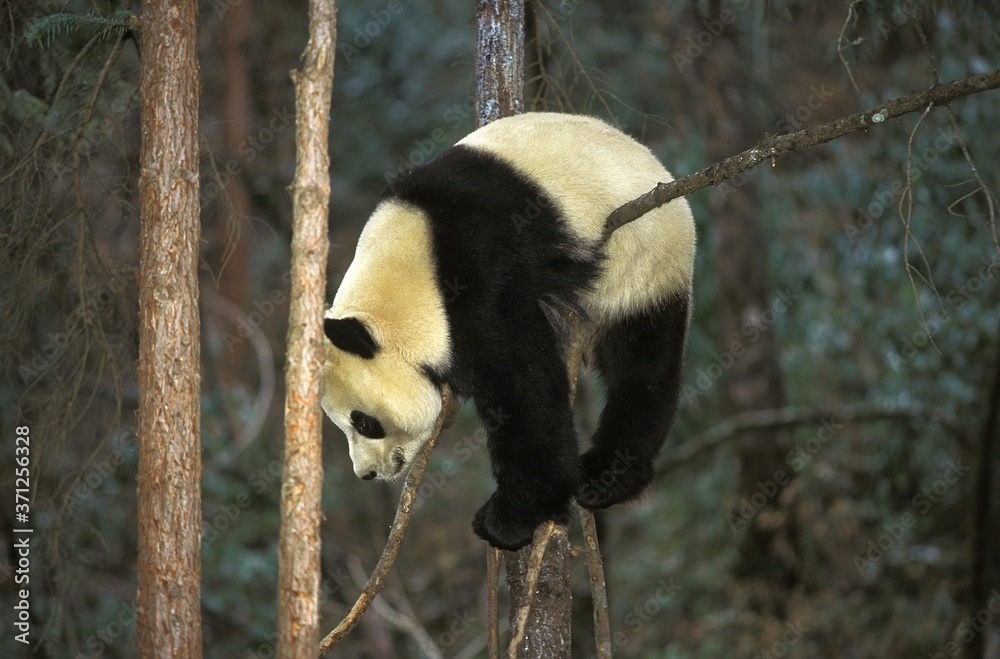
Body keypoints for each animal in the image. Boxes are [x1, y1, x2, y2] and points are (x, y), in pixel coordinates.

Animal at [322, 112, 695, 550]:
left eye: (363, 422)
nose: (367, 473)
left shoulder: (485, 279)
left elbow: (524, 389)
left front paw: (508, 519)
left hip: (645, 259)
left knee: (642, 363)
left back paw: (607, 477)